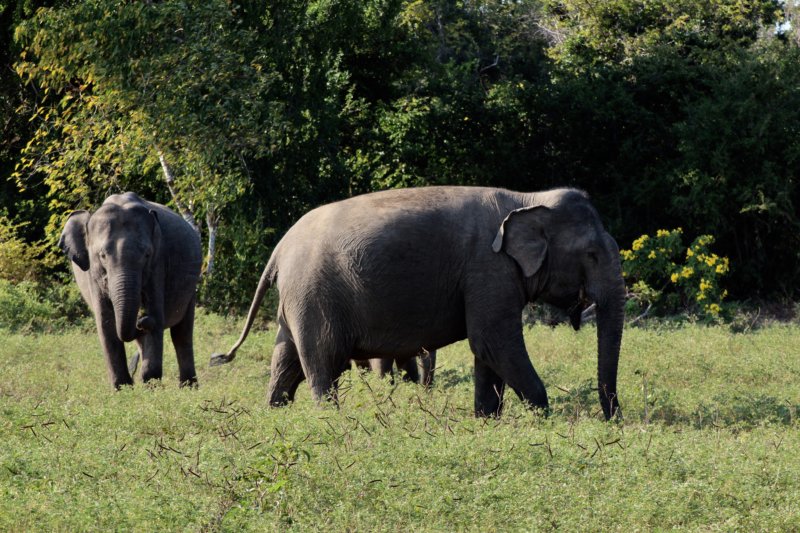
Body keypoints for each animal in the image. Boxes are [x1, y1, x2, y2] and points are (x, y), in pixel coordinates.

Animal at [58, 192, 202, 388]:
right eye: (102, 255)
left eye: (147, 254)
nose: (141, 319)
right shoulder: (92, 274)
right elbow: (106, 325)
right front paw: (123, 388)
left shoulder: (158, 263)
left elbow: (156, 316)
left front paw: (150, 386)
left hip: (191, 288)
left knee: (181, 334)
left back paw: (188, 388)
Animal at [211, 186, 624, 419]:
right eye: (591, 255)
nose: (613, 420)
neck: (529, 201)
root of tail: (279, 248)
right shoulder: (488, 269)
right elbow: (493, 341)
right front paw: (543, 419)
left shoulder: (490, 277)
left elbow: (488, 352)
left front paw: (485, 422)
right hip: (315, 298)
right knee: (322, 364)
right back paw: (330, 420)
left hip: (297, 302)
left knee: (286, 361)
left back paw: (275, 414)